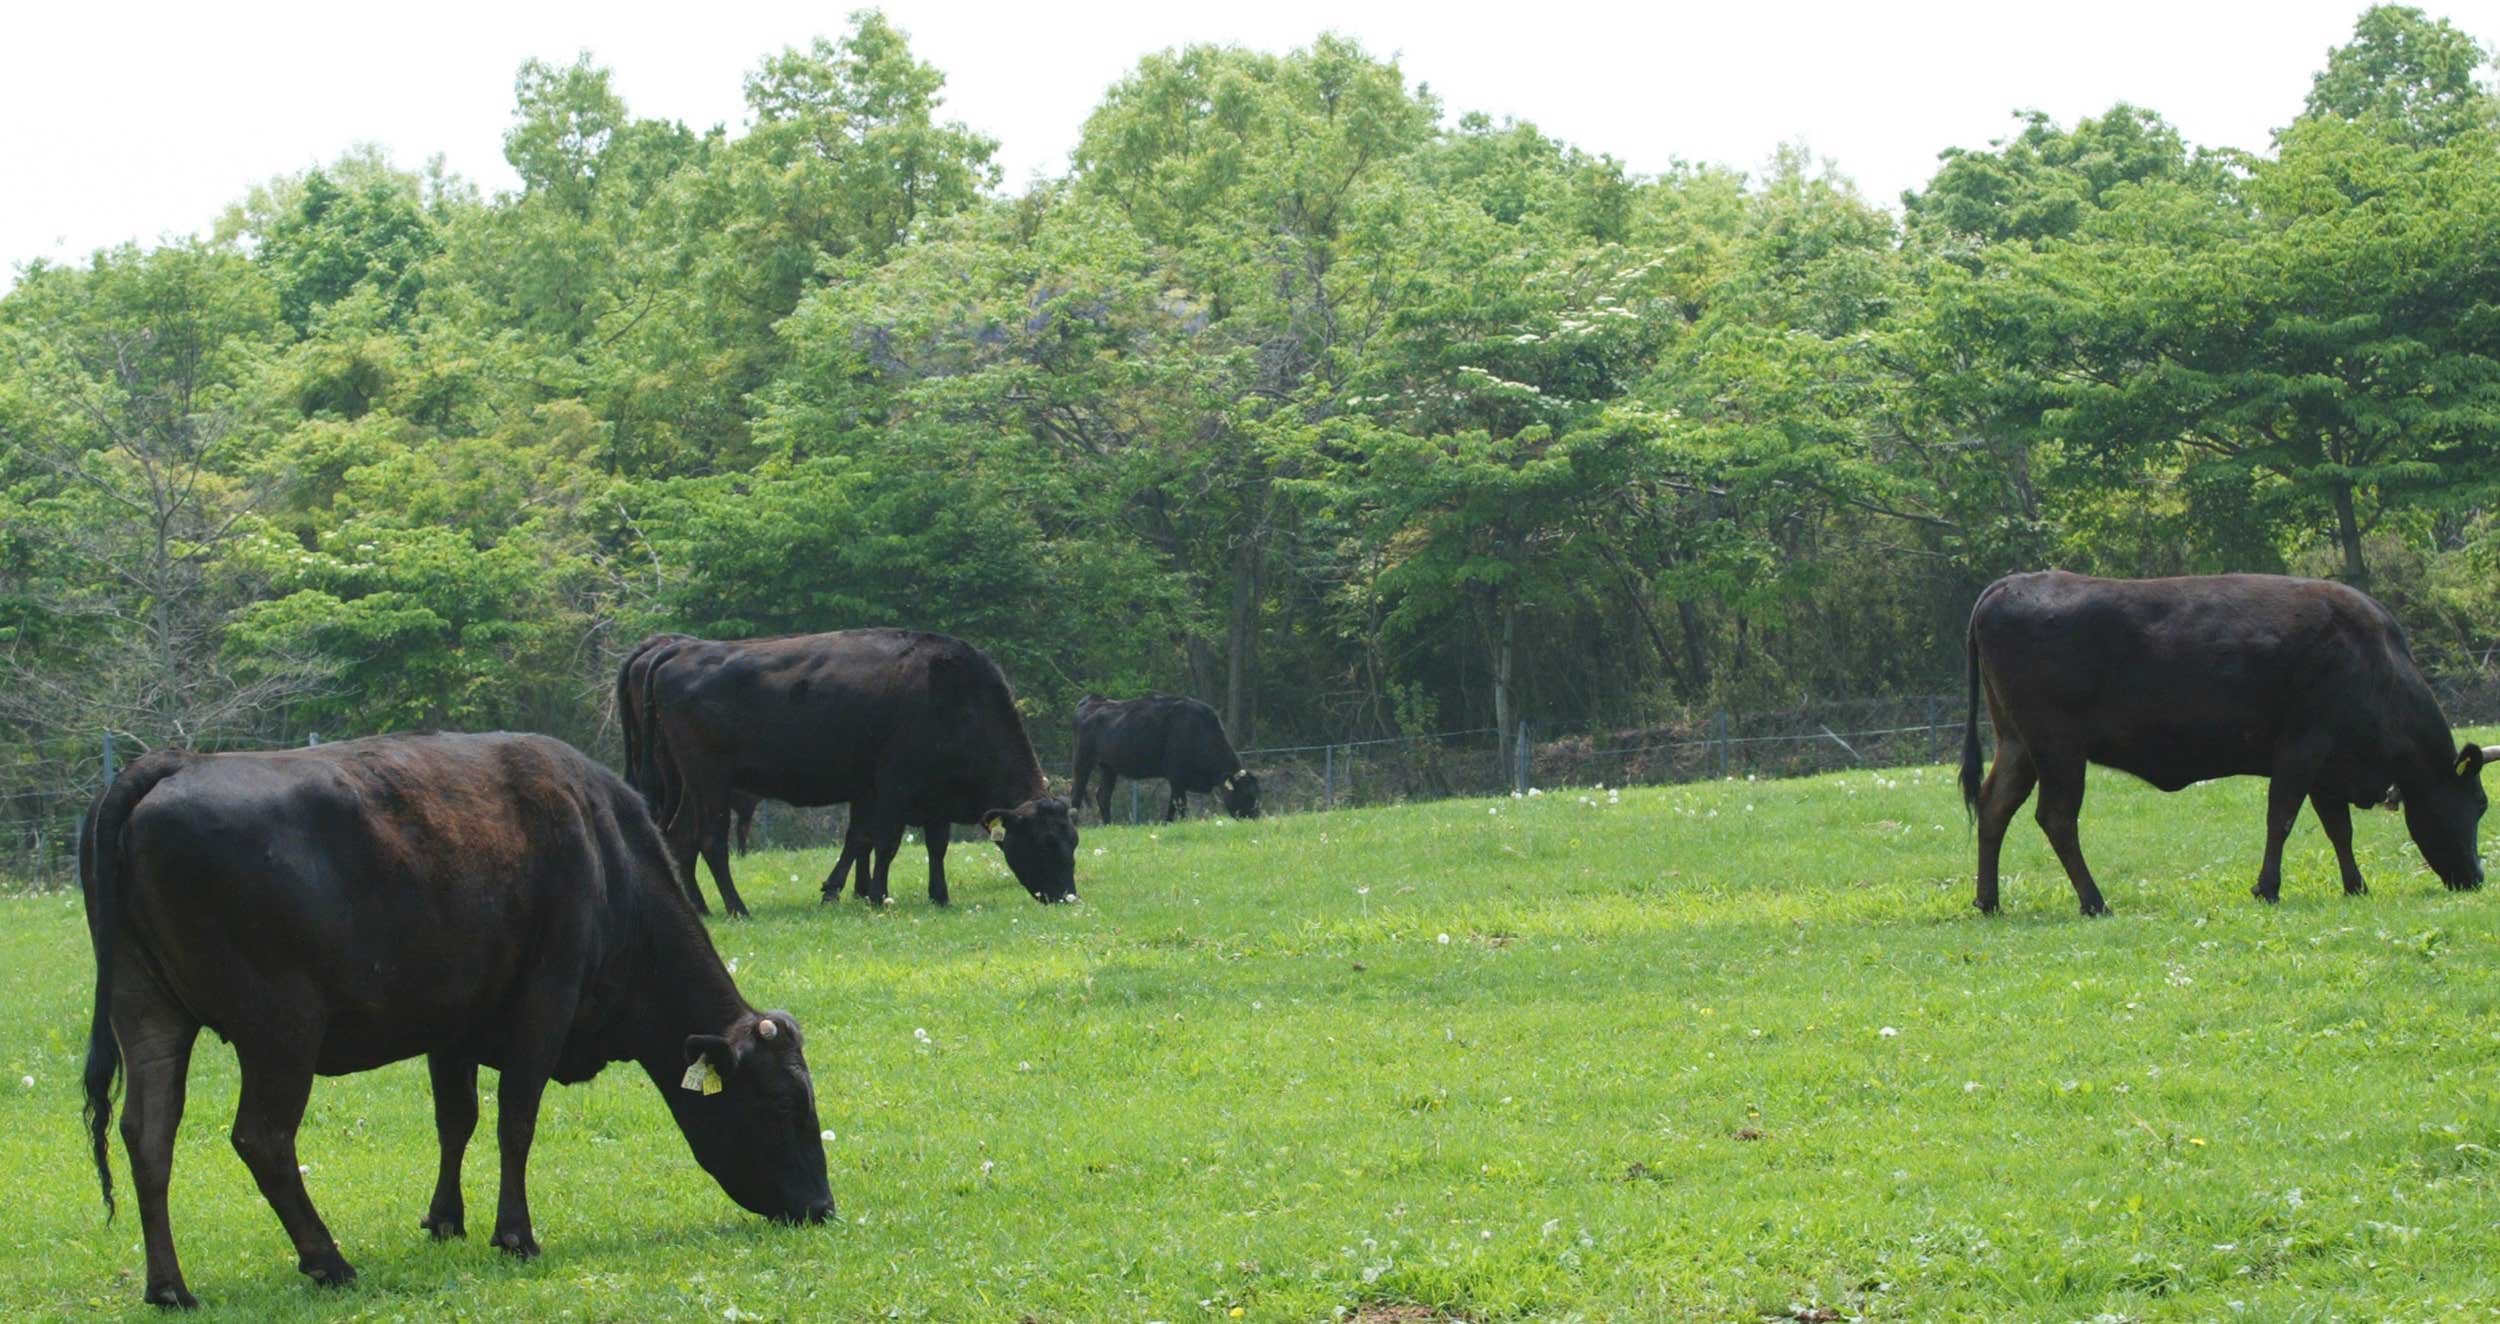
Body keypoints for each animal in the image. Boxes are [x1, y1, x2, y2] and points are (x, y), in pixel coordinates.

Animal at [78, 729, 835, 1299]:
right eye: (782, 1105)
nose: (822, 1209)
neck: (606, 854)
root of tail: (173, 761)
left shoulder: (455, 1022)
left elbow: (457, 1120)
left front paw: (446, 1220)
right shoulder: (545, 1000)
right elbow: (515, 1120)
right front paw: (516, 1234)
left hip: (147, 1012)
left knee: (148, 1135)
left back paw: (169, 1287)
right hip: (280, 1026)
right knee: (262, 1139)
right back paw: (328, 1260)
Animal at [635, 629, 1075, 909]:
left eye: (1073, 841)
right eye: (1045, 842)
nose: (1068, 896)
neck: (954, 698)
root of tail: (677, 652)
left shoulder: (930, 798)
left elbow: (929, 845)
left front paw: (938, 895)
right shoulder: (892, 789)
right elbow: (884, 843)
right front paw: (876, 895)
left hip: (689, 786)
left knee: (679, 839)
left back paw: (699, 908)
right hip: (710, 782)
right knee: (710, 841)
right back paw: (736, 907)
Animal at [1065, 694, 1260, 819]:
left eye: (1256, 793)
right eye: (1246, 794)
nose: (1255, 816)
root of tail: (1094, 700)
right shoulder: (1177, 777)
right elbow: (1178, 804)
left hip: (1108, 767)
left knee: (1103, 796)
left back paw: (1109, 824)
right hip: (1082, 760)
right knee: (1076, 794)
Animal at [1960, 572, 2490, 914]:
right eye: (2479, 805)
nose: (2476, 878)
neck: (2374, 663)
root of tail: (2007, 584)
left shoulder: (2328, 767)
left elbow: (2339, 829)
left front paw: (2355, 885)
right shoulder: (2302, 748)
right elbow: (2282, 818)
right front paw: (2267, 888)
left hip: (2017, 744)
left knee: (1994, 807)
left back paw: (1989, 900)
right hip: (2058, 748)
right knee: (2056, 818)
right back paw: (2093, 901)